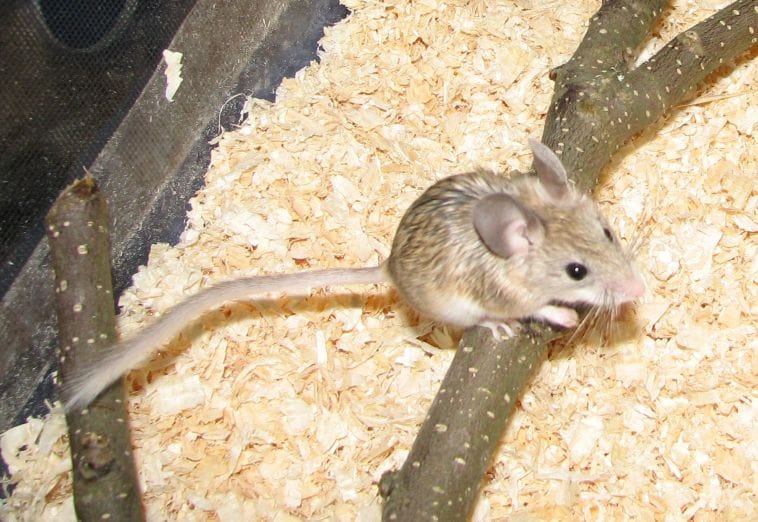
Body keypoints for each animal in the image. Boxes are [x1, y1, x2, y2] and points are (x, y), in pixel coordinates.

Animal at [63, 139, 644, 411]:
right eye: (576, 271)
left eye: (608, 232)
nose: (640, 289)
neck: (505, 257)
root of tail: (387, 267)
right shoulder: (503, 292)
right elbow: (536, 306)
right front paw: (562, 316)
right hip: (452, 305)